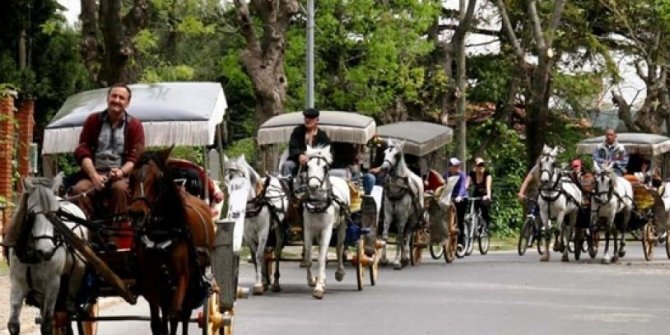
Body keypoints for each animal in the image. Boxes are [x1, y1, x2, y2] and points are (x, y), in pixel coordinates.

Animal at [6, 173, 88, 335]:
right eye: (31, 213)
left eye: (56, 214)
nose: (47, 251)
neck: (32, 257)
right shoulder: (17, 283)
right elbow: (13, 325)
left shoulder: (52, 284)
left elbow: (47, 325)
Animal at [129, 148, 215, 334]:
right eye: (131, 177)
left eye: (158, 178)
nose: (136, 214)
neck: (161, 234)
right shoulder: (151, 283)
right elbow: (158, 323)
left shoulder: (183, 277)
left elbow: (175, 315)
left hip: (192, 279)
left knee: (184, 314)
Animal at [226, 154, 288, 296]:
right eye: (228, 179)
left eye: (243, 178)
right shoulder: (248, 235)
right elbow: (255, 257)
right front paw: (261, 282)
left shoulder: (263, 232)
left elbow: (259, 255)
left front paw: (259, 284)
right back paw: (266, 280)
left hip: (278, 231)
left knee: (277, 254)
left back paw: (275, 283)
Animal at [302, 144, 350, 300]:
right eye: (307, 166)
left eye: (324, 167)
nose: (313, 186)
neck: (317, 203)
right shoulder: (308, 229)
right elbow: (309, 258)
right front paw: (313, 281)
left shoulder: (327, 229)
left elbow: (322, 258)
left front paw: (318, 288)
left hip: (342, 225)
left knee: (339, 247)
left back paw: (339, 272)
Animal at [378, 141, 426, 270]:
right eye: (384, 152)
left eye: (396, 155)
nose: (384, 168)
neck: (397, 187)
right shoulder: (388, 214)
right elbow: (384, 236)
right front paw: (383, 259)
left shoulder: (402, 215)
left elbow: (400, 238)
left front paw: (396, 262)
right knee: (404, 236)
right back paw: (404, 257)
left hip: (413, 219)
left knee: (407, 235)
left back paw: (406, 257)